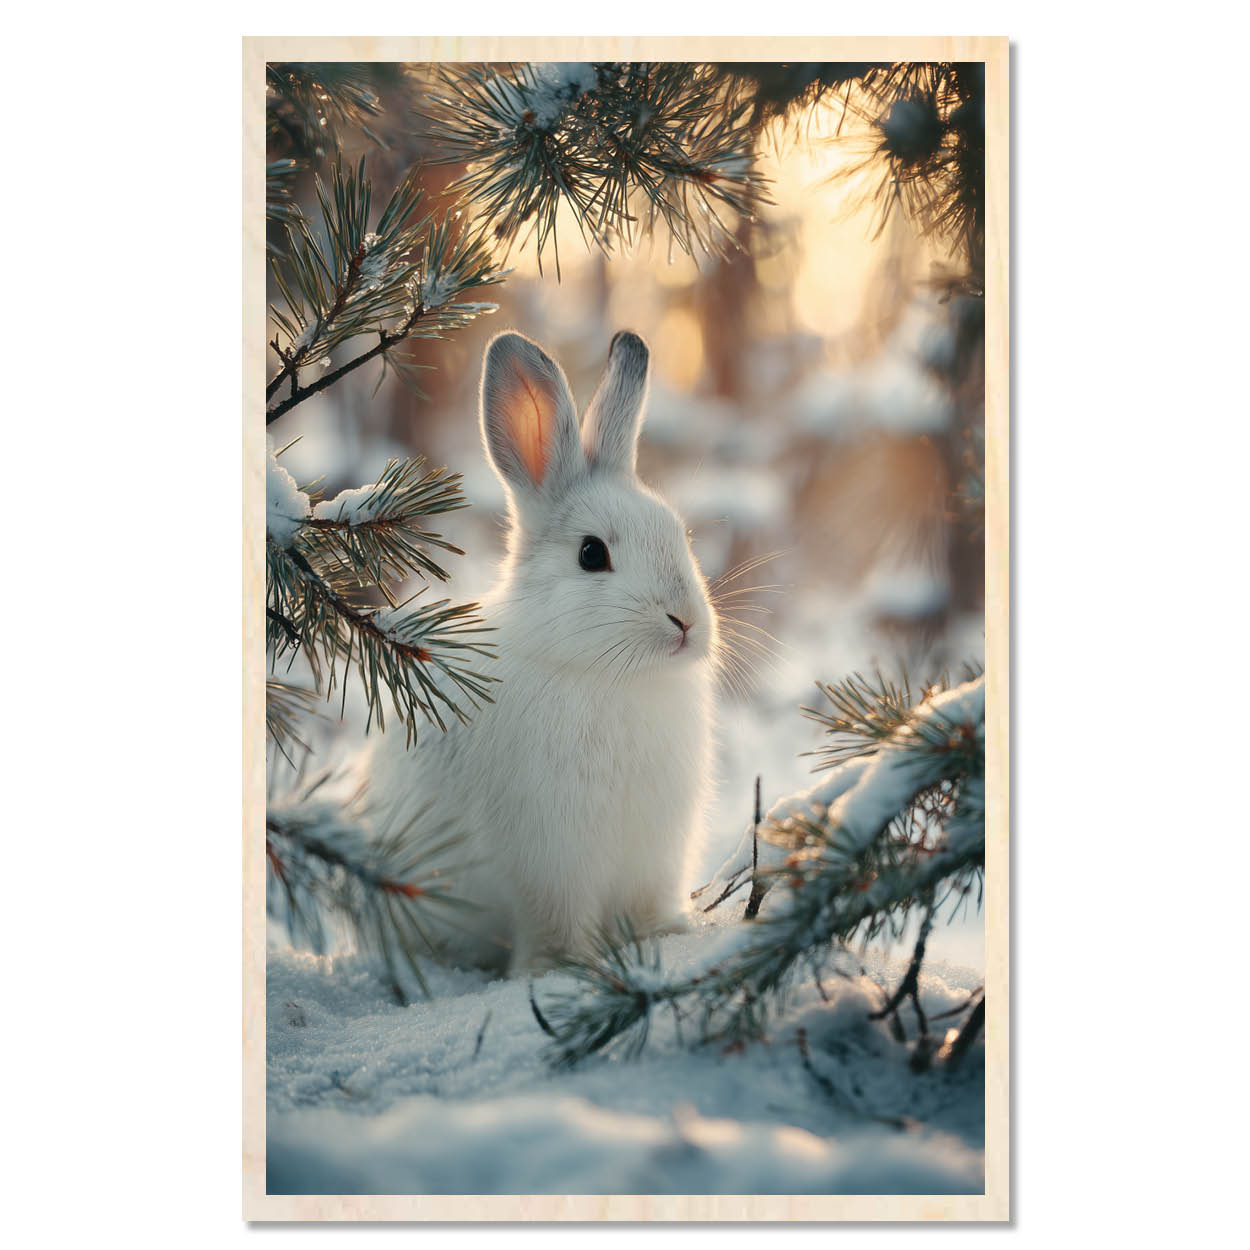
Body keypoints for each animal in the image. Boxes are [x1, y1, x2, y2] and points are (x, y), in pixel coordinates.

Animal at [371, 329, 719, 975]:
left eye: (679, 535)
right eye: (591, 554)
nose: (686, 622)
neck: (610, 677)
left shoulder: (656, 851)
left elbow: (648, 907)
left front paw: (667, 937)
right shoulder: (550, 855)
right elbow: (555, 917)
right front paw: (562, 968)